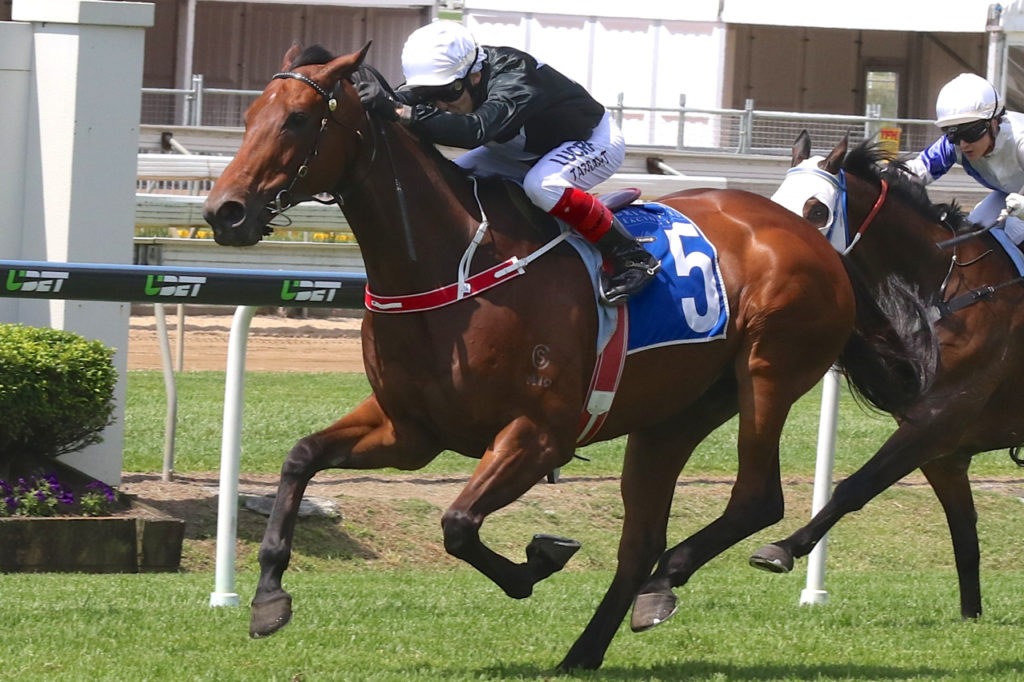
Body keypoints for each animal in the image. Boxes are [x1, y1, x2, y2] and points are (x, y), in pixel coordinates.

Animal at [202, 44, 936, 670]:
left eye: (298, 119)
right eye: (249, 116)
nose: (224, 212)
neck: (451, 264)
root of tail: (815, 242)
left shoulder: (539, 435)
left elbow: (458, 524)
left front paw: (539, 560)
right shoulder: (410, 429)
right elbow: (300, 458)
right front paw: (266, 598)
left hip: (767, 373)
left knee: (755, 499)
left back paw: (665, 585)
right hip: (674, 415)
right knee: (641, 540)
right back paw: (590, 645)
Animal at [752, 131, 1024, 621]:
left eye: (816, 210)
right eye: (776, 202)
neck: (945, 292)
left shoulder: (935, 423)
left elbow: (853, 487)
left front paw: (783, 548)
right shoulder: (944, 452)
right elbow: (964, 535)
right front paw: (971, 616)